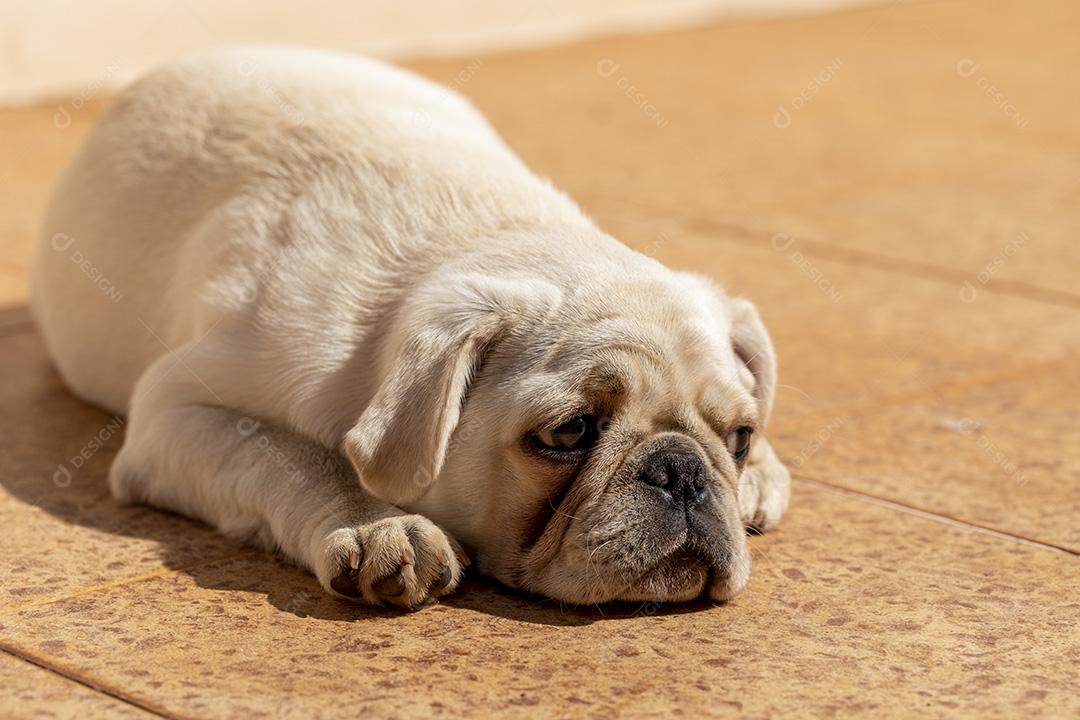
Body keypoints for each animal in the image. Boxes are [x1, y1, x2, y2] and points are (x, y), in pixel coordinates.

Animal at [33, 46, 790, 608]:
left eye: (739, 436)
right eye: (569, 434)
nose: (682, 471)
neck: (491, 232)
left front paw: (757, 471)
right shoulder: (175, 414)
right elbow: (293, 456)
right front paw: (381, 525)